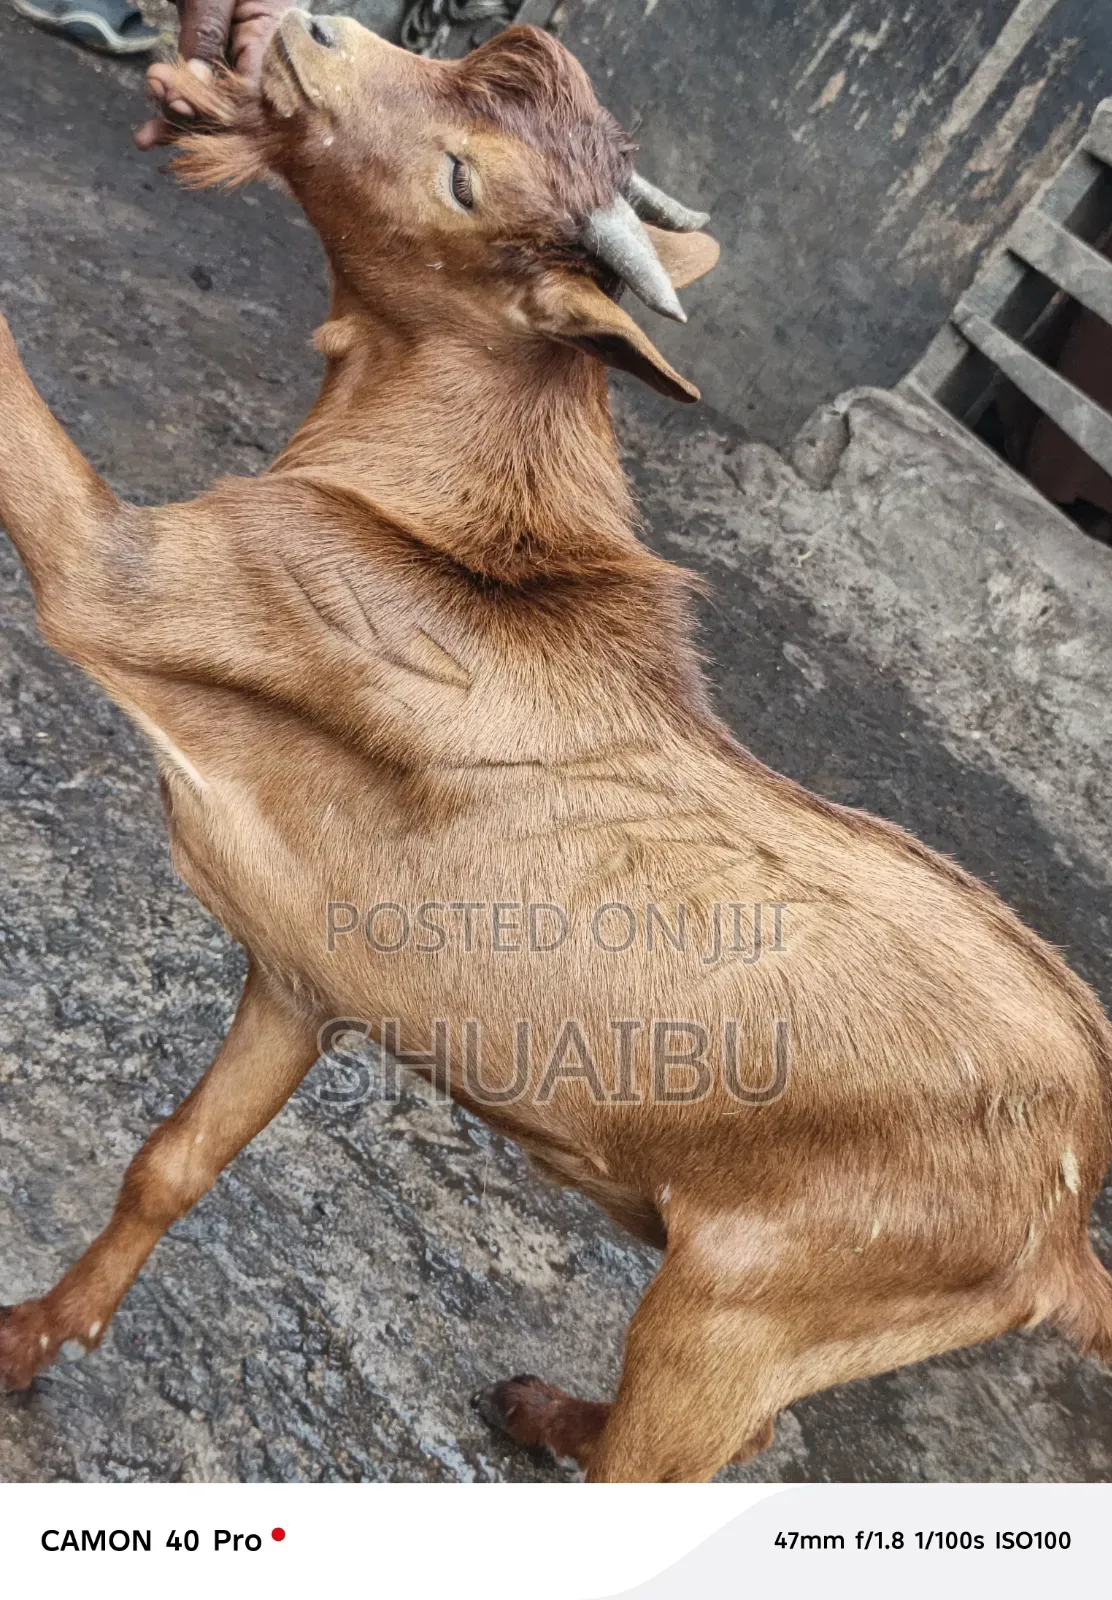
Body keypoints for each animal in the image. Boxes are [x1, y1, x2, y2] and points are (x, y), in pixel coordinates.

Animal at [0, 16, 1110, 1482]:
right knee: (752, 1432)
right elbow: (172, 1163)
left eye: (465, 178)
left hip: (737, 1305)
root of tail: (1062, 1229)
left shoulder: (126, 580)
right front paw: (31, 1341)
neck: (461, 516)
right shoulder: (304, 978)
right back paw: (543, 1412)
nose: (310, 27)